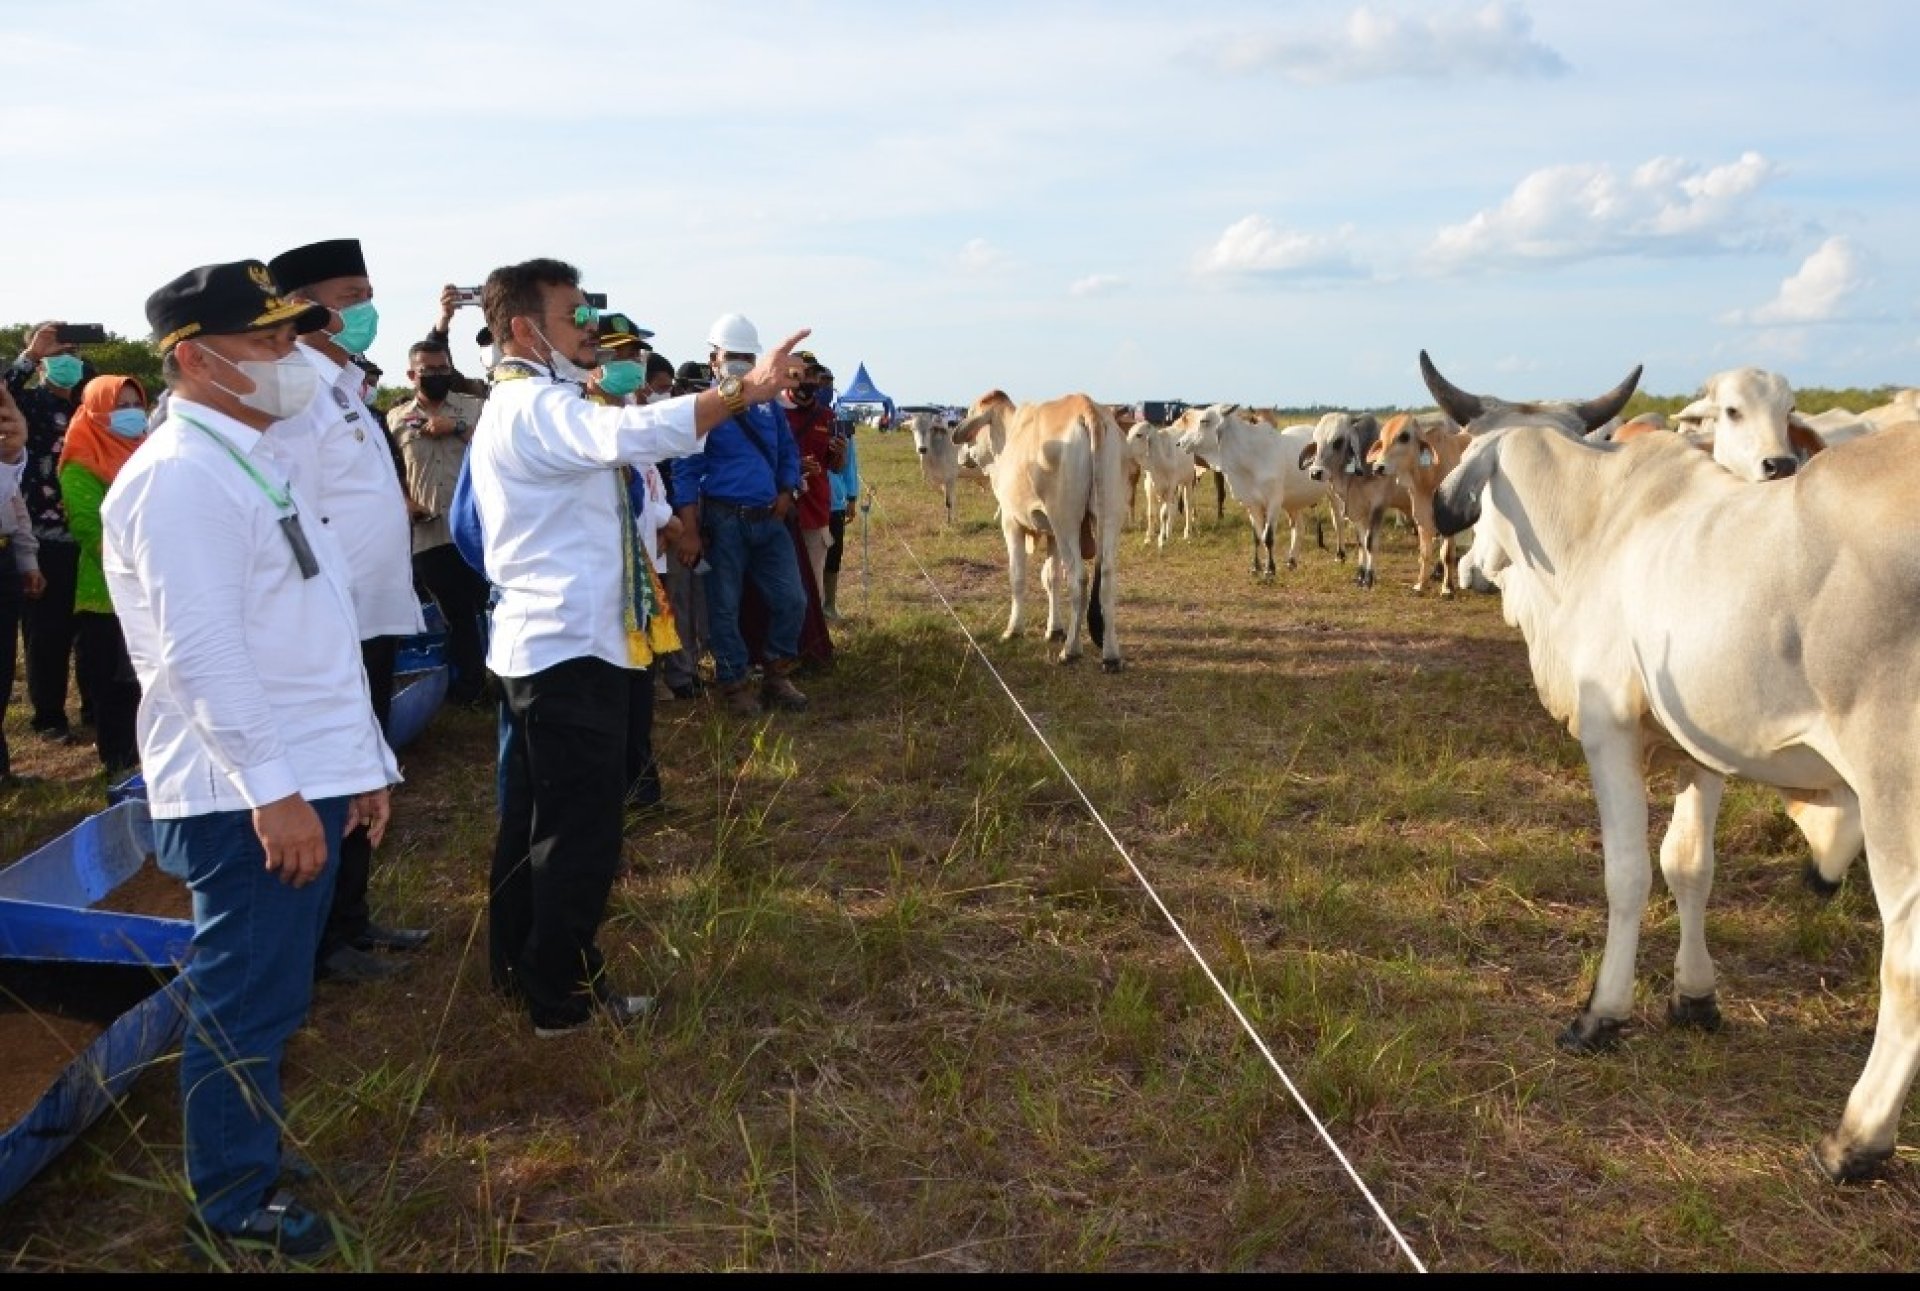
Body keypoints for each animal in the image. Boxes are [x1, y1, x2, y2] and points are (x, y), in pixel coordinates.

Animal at [948, 388, 1121, 672]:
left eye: (972, 415)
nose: (961, 454)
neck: (1008, 434)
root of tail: (1086, 408)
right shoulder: (1051, 535)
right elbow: (1052, 578)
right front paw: (1054, 629)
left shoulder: (1011, 523)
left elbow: (1017, 577)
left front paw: (1014, 629)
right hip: (1107, 517)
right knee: (1106, 579)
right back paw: (1111, 655)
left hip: (1065, 521)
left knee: (1079, 579)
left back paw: (1071, 650)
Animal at [1167, 403, 1320, 576]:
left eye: (1204, 421)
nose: (1180, 443)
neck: (1250, 458)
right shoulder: (1252, 504)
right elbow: (1257, 536)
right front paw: (1256, 567)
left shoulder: (1273, 502)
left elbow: (1268, 537)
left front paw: (1270, 570)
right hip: (1293, 502)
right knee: (1299, 527)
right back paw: (1292, 561)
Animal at [1428, 420, 1920, 1183]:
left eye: (1486, 497)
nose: (1475, 567)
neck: (1599, 522)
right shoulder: (1700, 746)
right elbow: (1689, 865)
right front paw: (1694, 996)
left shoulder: (1609, 729)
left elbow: (1628, 874)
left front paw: (1602, 1013)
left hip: (1896, 784)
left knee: (1907, 964)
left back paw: (1856, 1138)